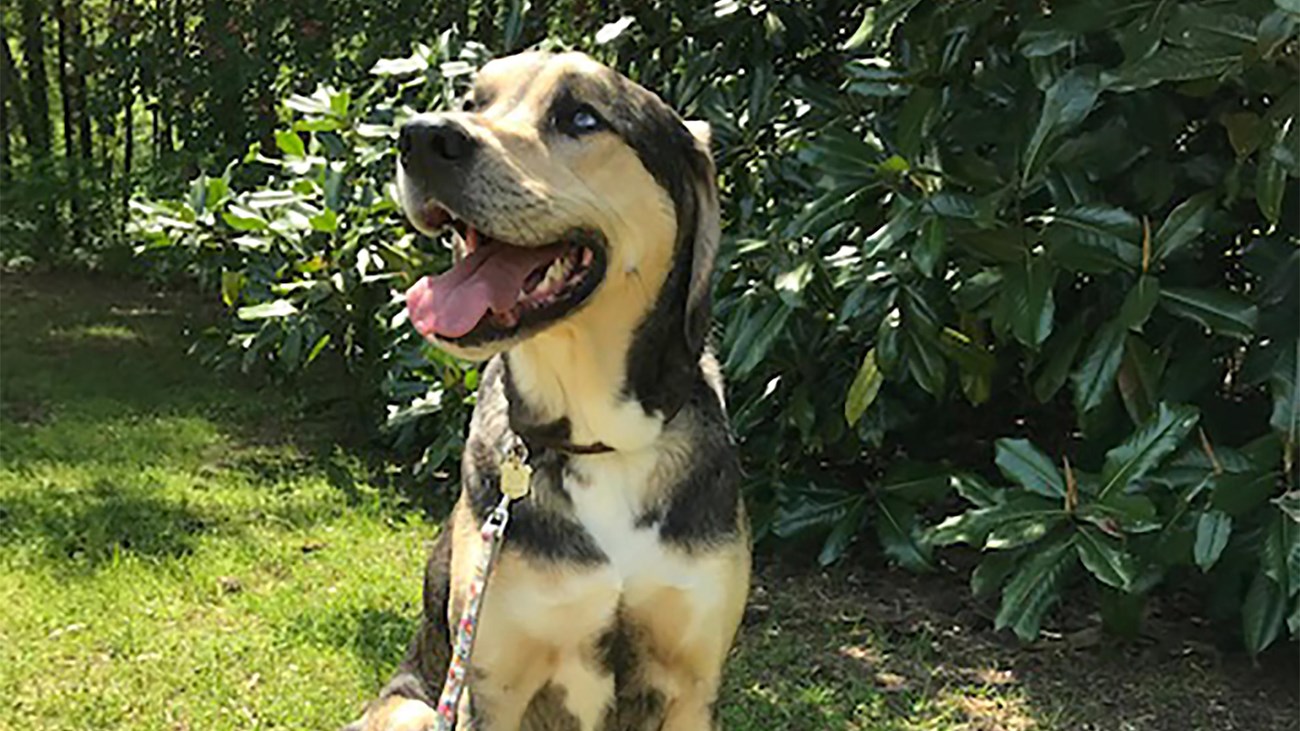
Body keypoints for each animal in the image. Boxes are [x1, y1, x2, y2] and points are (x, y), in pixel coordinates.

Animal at [345, 52, 754, 728]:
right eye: (474, 101)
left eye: (582, 117)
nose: (422, 136)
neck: (599, 439)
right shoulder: (492, 685)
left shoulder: (690, 685)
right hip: (414, 710)